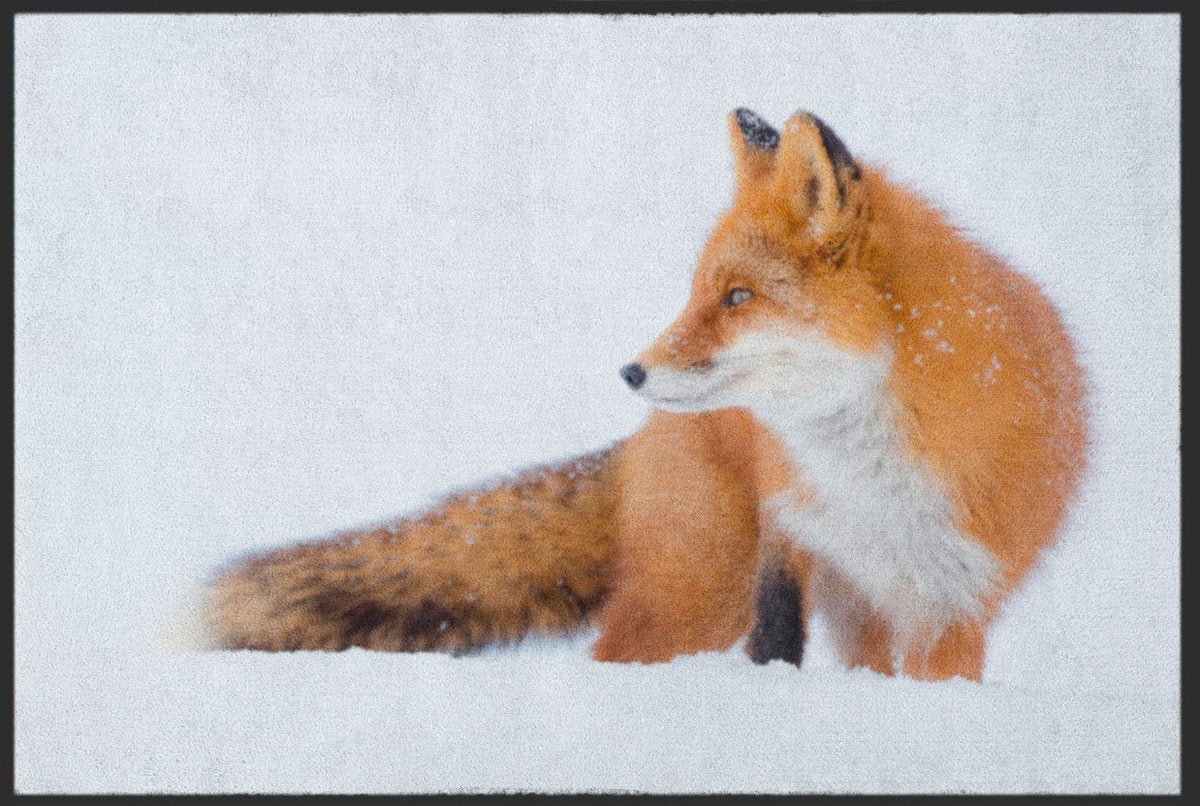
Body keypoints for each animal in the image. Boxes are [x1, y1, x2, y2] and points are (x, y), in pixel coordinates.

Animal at [202, 108, 1088, 681]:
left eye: (737, 297)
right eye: (698, 292)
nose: (631, 373)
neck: (875, 470)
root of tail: (642, 446)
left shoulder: (953, 604)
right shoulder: (793, 546)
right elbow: (778, 637)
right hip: (705, 589)